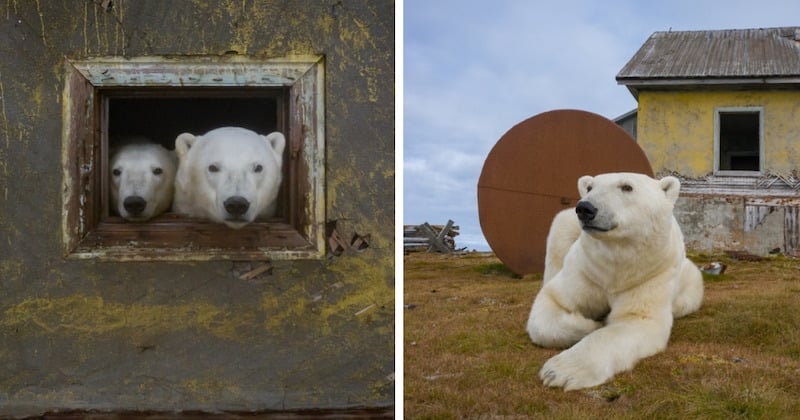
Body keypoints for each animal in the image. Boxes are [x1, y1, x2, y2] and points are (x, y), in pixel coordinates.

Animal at [528, 171, 704, 390]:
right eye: (590, 187)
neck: (616, 268)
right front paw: (590, 325)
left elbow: (636, 319)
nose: (585, 208)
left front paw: (561, 371)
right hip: (566, 226)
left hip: (689, 278)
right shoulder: (587, 269)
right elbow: (552, 301)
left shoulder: (650, 274)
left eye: (627, 187)